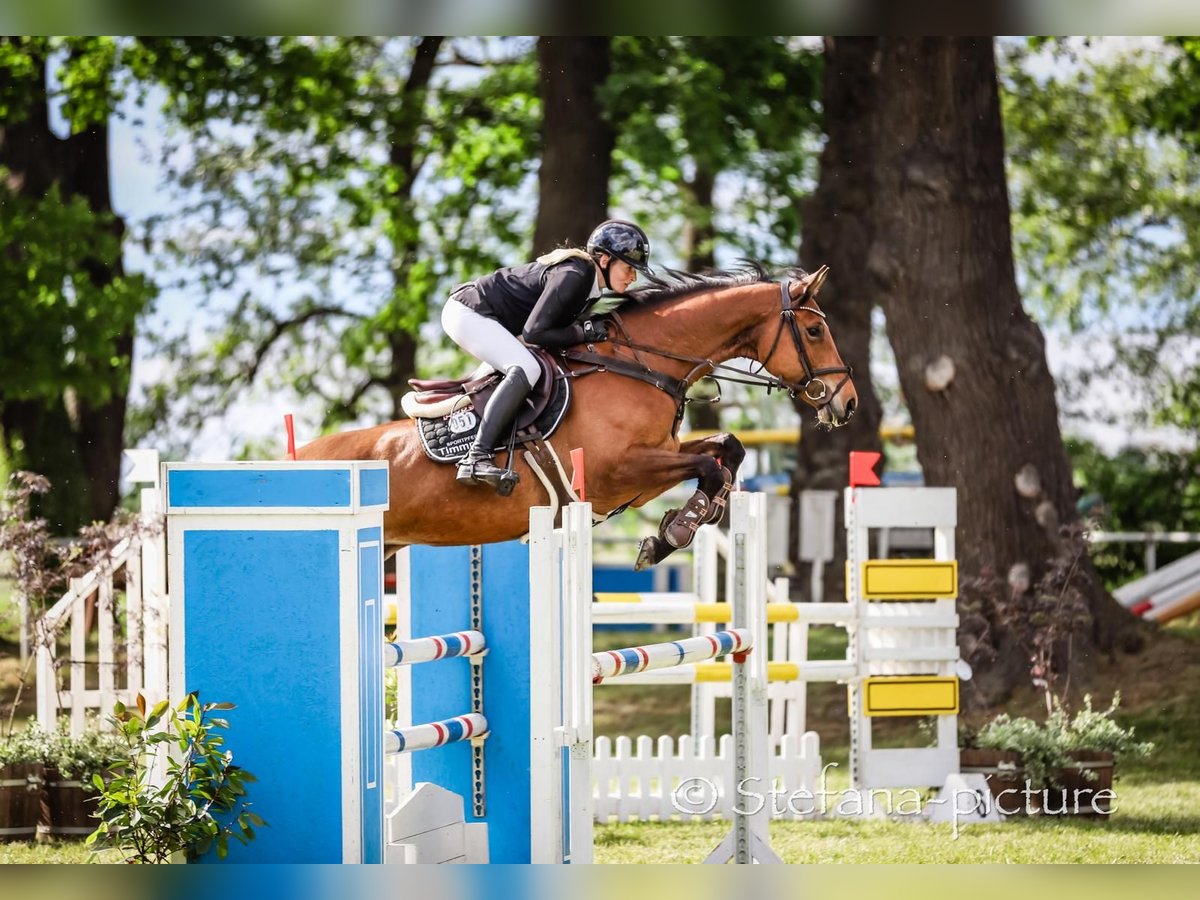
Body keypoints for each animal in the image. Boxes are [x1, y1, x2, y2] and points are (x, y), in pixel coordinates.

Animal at [300, 262, 864, 571]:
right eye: (815, 331)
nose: (848, 402)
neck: (640, 364)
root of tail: (296, 455)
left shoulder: (654, 459)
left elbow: (727, 448)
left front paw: (677, 528)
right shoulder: (618, 471)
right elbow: (710, 464)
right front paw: (676, 531)